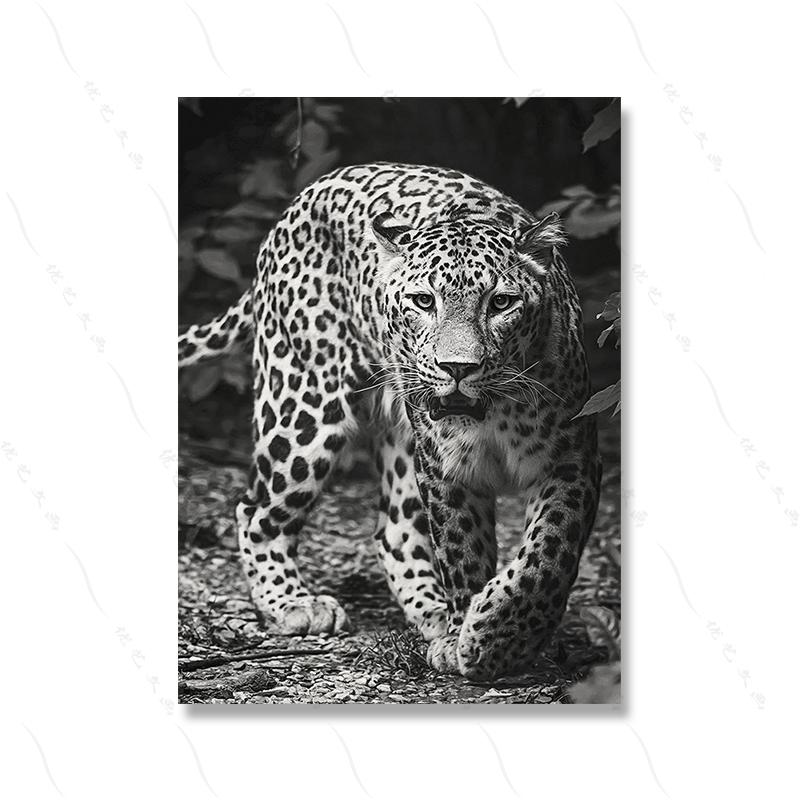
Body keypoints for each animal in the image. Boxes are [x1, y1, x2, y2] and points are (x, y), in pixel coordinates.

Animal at [178, 162, 602, 678]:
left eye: (501, 303)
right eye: (424, 301)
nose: (457, 368)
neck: (494, 412)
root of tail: (300, 200)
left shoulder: (571, 459)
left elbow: (548, 555)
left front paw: (497, 636)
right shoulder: (444, 469)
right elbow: (462, 550)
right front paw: (472, 635)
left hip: (399, 438)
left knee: (394, 530)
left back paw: (433, 612)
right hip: (303, 407)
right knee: (256, 509)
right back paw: (293, 604)